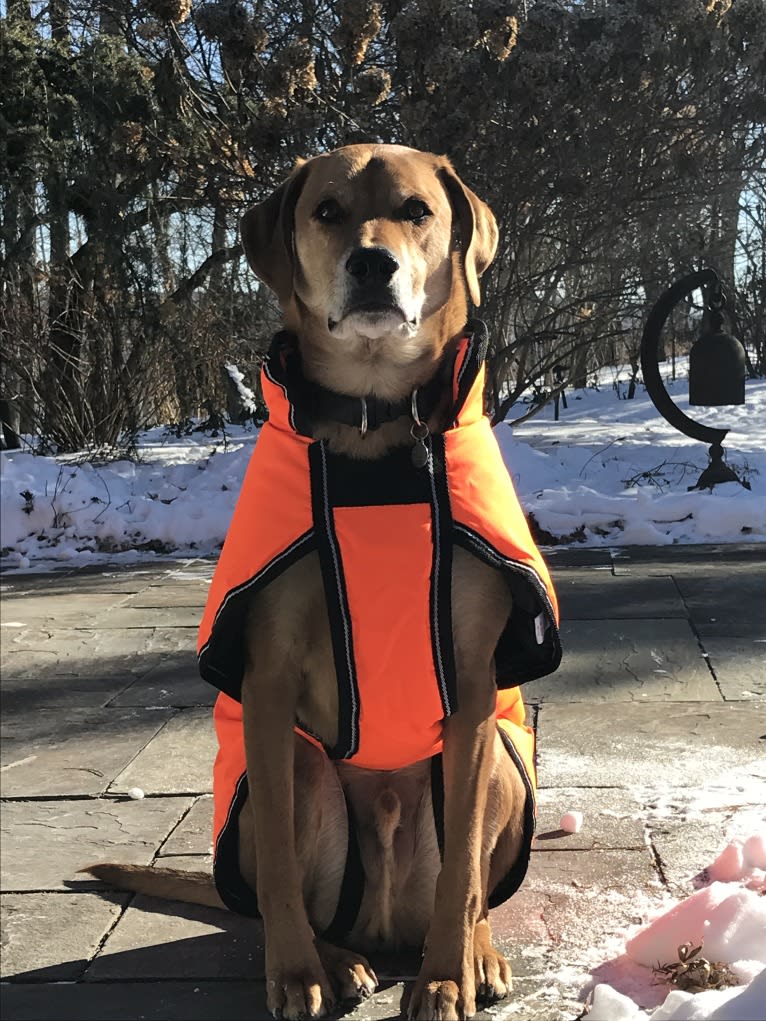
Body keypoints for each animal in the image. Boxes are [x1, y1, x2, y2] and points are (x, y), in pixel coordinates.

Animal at [85, 141, 563, 1021]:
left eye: (417, 210)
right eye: (328, 211)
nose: (373, 264)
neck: (374, 424)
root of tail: (386, 922)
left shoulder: (475, 687)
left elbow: (463, 874)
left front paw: (448, 975)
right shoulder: (269, 682)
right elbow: (276, 860)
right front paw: (297, 972)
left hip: (501, 765)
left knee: (469, 881)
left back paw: (472, 950)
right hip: (307, 772)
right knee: (298, 887)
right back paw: (333, 958)